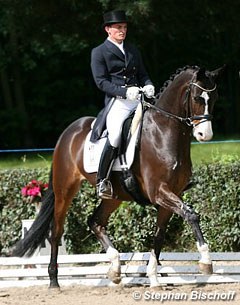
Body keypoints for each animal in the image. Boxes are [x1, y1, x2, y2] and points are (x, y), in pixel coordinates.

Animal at [12, 64, 224, 288]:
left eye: (215, 97)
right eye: (198, 98)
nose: (205, 135)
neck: (163, 132)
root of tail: (68, 132)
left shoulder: (172, 194)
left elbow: (159, 235)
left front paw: (153, 278)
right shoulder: (159, 192)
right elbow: (192, 215)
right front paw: (206, 262)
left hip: (114, 196)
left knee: (95, 221)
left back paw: (115, 269)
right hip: (65, 190)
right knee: (57, 232)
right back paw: (54, 280)